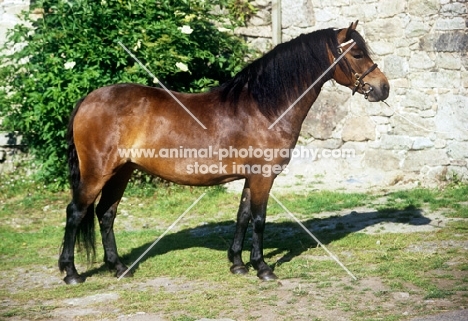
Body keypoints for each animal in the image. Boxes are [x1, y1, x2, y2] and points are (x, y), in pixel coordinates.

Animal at [58, 21, 388, 284]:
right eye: (357, 54)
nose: (383, 87)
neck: (264, 108)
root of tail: (88, 99)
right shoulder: (263, 177)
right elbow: (258, 218)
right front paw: (262, 267)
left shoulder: (250, 177)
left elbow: (242, 216)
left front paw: (238, 264)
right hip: (98, 172)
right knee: (76, 212)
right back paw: (71, 273)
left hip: (121, 171)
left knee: (105, 214)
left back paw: (118, 267)